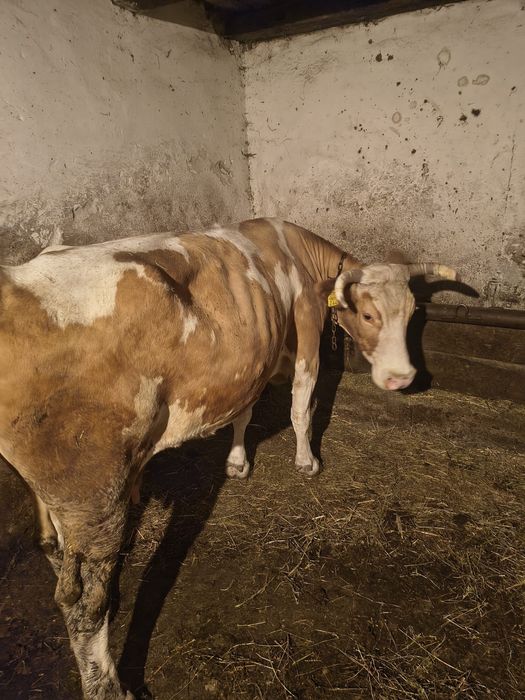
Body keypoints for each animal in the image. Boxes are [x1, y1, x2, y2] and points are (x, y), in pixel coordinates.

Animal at [0, 218, 457, 699]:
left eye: (412, 313)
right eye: (369, 316)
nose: (401, 378)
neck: (294, 251)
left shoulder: (250, 360)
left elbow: (245, 412)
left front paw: (238, 461)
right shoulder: (306, 328)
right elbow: (301, 405)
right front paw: (306, 461)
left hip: (59, 494)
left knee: (54, 549)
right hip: (92, 493)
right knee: (84, 606)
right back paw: (109, 685)